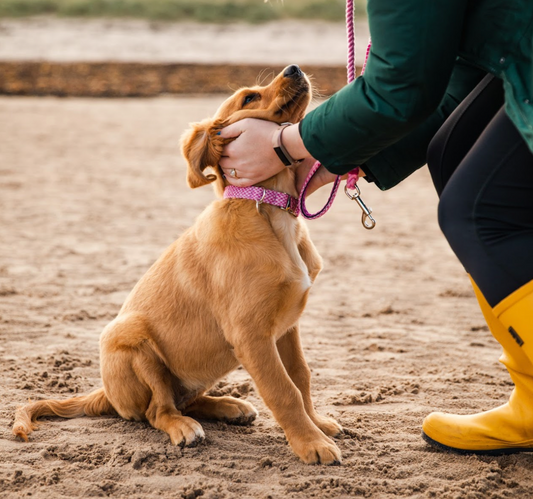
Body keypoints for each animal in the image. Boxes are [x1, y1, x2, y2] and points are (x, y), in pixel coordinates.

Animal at [15, 65, 344, 464]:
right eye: (249, 97)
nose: (294, 68)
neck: (269, 208)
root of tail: (106, 394)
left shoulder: (286, 328)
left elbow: (301, 376)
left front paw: (317, 425)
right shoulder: (251, 334)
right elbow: (284, 390)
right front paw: (311, 444)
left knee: (183, 400)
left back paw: (229, 406)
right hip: (132, 340)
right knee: (159, 410)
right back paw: (185, 427)